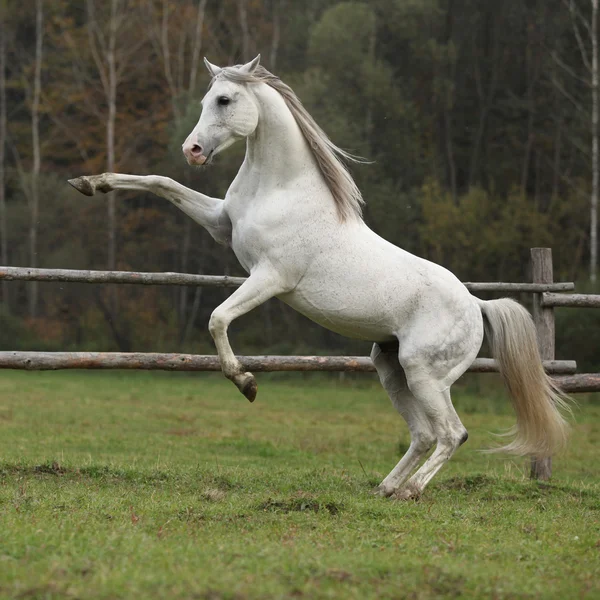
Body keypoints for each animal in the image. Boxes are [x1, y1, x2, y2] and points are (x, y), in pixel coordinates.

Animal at [68, 56, 568, 500]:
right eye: (207, 99)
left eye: (225, 99)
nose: (192, 151)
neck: (282, 189)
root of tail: (476, 304)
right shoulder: (219, 224)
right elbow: (161, 183)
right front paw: (90, 182)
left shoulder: (270, 277)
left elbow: (217, 318)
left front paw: (246, 383)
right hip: (392, 369)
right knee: (424, 435)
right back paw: (385, 488)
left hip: (426, 374)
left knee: (452, 433)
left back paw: (411, 492)